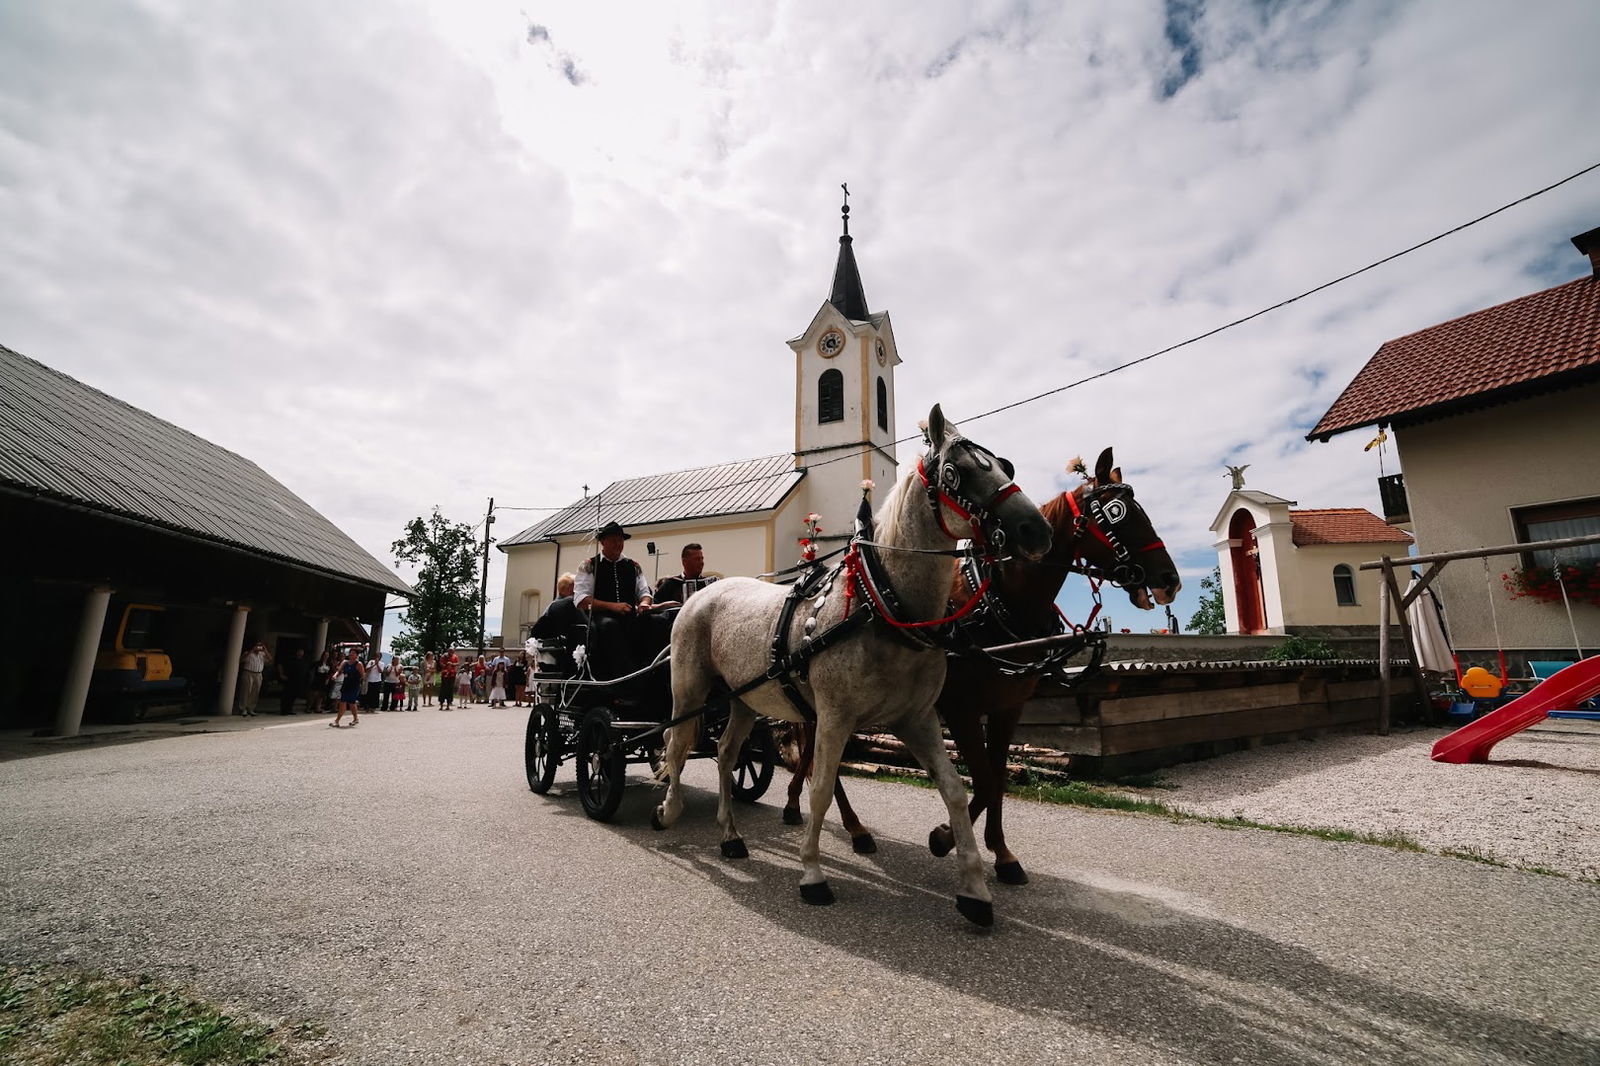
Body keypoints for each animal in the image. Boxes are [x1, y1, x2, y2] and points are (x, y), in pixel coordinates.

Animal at [656, 403, 1056, 928]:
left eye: (1004, 466)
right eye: (957, 472)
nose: (1037, 531)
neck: (882, 606)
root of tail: (704, 590)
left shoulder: (918, 720)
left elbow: (953, 790)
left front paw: (973, 887)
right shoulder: (835, 717)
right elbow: (821, 789)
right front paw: (812, 873)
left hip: (744, 698)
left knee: (725, 755)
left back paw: (730, 835)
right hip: (690, 690)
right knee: (677, 746)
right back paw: (668, 812)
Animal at [780, 444, 1184, 877]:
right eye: (1116, 513)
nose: (1170, 580)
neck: (997, 603)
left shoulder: (1008, 708)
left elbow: (998, 779)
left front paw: (1001, 852)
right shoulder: (962, 710)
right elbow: (985, 779)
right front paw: (945, 838)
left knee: (816, 756)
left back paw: (805, 807)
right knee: (826, 762)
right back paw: (850, 826)